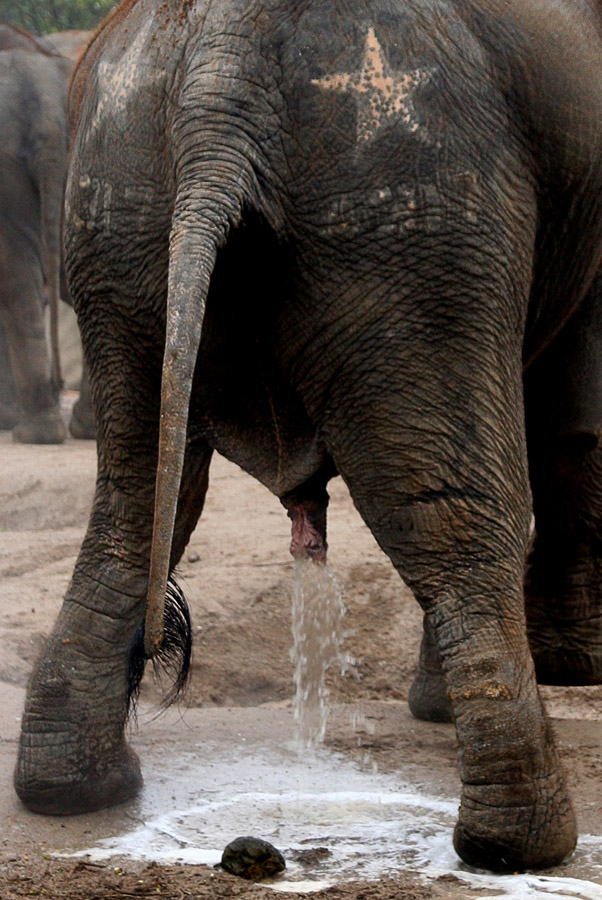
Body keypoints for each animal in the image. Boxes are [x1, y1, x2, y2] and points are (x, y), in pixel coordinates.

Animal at [14, 0, 602, 880]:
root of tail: (222, 68)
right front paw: (578, 668)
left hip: (117, 212)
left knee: (134, 493)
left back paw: (74, 789)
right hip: (409, 207)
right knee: (449, 512)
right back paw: (524, 846)